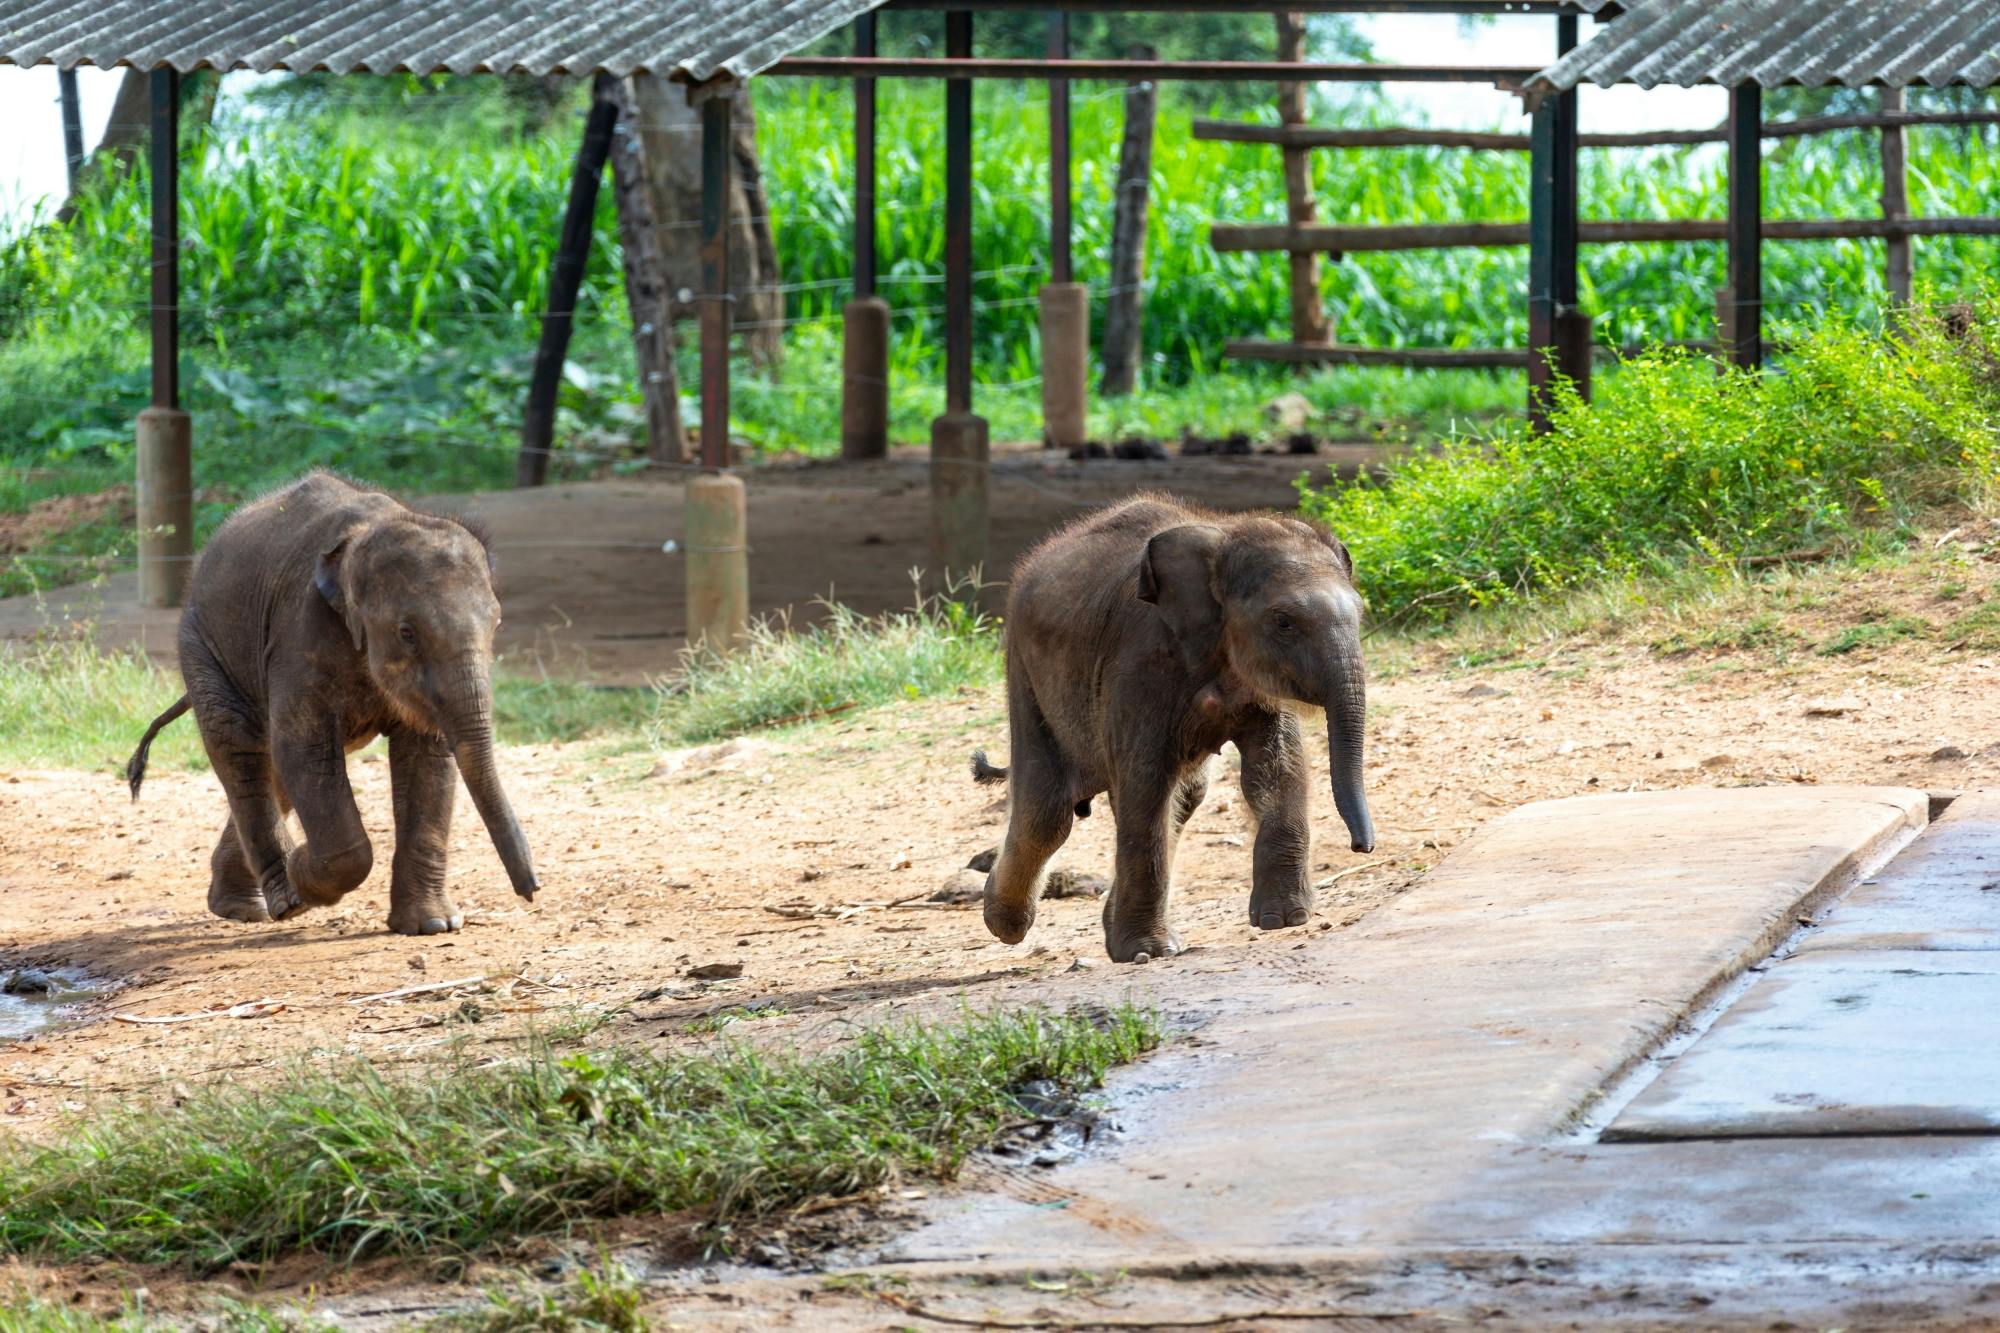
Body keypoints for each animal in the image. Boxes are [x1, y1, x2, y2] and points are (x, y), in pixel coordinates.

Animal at [129, 472, 544, 928]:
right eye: (406, 633)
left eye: (497, 624)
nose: (532, 890)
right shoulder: (301, 632)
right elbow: (305, 749)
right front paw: (304, 875)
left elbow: (427, 755)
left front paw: (430, 926)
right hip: (202, 645)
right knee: (241, 748)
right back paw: (285, 899)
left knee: (272, 767)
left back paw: (243, 906)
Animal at [972, 492, 1376, 960]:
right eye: (1283, 622)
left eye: (1360, 613)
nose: (1362, 847)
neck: (1225, 536)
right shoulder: (1140, 665)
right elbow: (1147, 784)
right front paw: (1149, 951)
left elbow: (1275, 770)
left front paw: (1285, 920)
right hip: (1025, 674)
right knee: (1047, 810)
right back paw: (1005, 925)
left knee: (1186, 796)